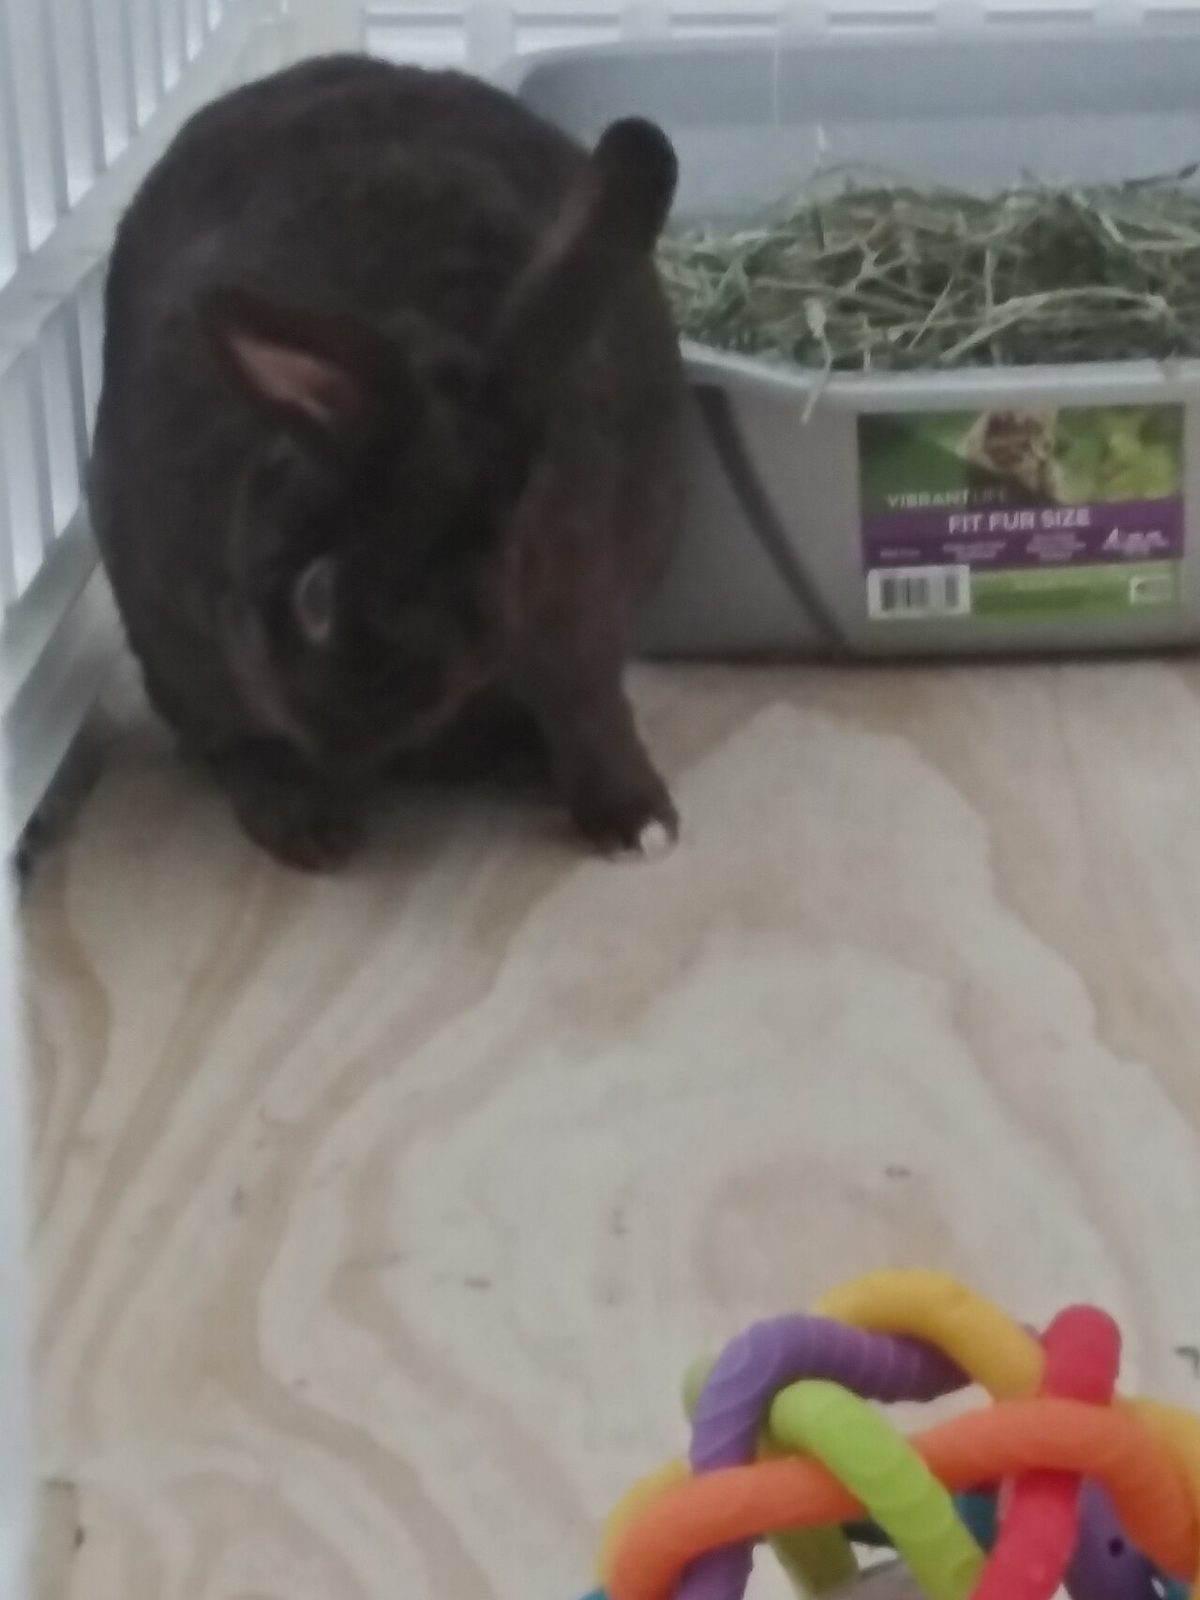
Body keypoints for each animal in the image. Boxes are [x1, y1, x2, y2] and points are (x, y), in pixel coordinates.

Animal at [89, 54, 687, 870]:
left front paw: (639, 822)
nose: (338, 740)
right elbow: (246, 739)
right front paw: (316, 827)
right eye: (315, 595)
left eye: (494, 586)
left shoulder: (574, 612)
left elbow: (591, 711)